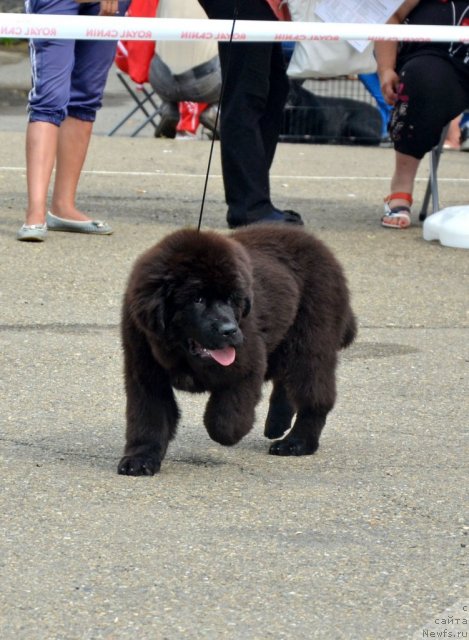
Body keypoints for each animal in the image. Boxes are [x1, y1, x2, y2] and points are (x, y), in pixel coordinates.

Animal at [117, 225, 354, 476]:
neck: (182, 355)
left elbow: (224, 421)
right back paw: (278, 423)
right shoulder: (145, 372)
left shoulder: (247, 364)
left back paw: (296, 443)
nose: (230, 330)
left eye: (232, 299)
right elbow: (148, 418)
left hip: (310, 343)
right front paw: (140, 459)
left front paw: (228, 432)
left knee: (313, 394)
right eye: (197, 299)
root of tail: (318, 245)